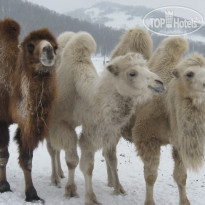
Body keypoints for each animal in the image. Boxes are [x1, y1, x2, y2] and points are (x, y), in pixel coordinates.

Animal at [0, 18, 57, 202]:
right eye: (30, 46)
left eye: (56, 46)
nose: (48, 51)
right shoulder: (2, 120)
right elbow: (4, 155)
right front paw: (4, 185)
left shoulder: (26, 124)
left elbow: (27, 160)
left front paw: (32, 194)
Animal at [46, 30, 165, 205]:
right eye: (132, 73)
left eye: (147, 67)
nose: (160, 83)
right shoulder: (60, 123)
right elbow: (72, 160)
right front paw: (72, 191)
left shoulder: (94, 130)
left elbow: (88, 165)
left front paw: (91, 196)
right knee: (52, 149)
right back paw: (55, 178)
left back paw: (60, 174)